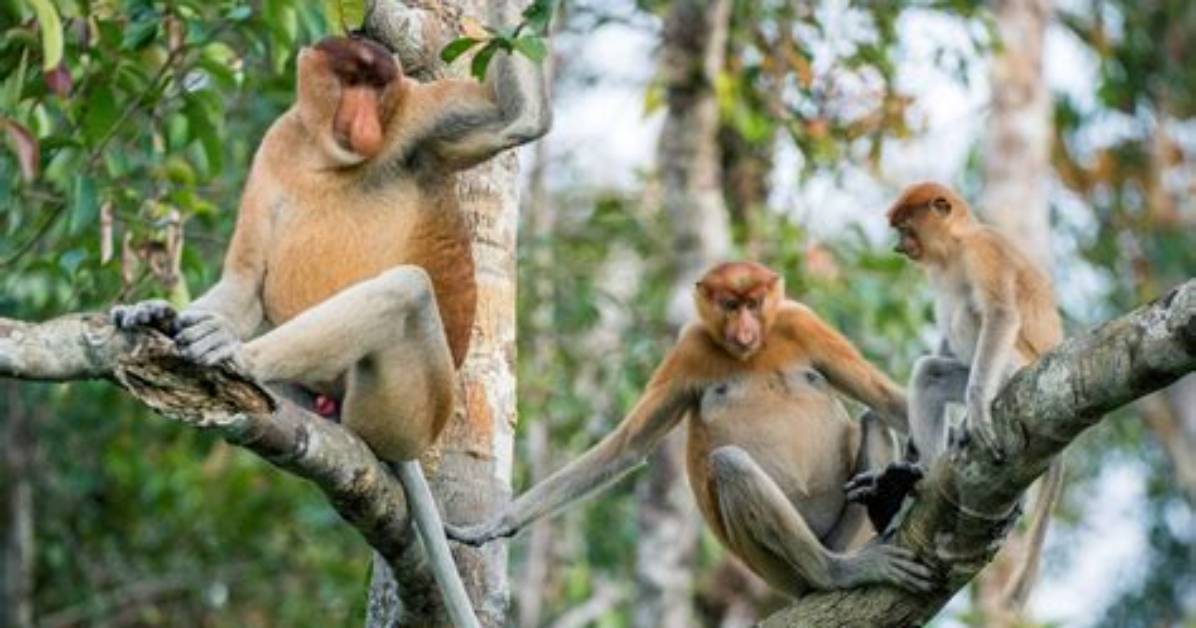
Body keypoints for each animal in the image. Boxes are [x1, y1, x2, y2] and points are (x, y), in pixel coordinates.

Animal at [112, 27, 549, 627]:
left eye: (377, 85)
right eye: (350, 79)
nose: (364, 121)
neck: (324, 156)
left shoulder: (418, 117)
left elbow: (517, 119)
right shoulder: (275, 146)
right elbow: (244, 282)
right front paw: (153, 311)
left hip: (407, 410)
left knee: (406, 288)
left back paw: (239, 357)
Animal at [446, 262, 937, 597]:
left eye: (754, 304)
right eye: (730, 305)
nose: (744, 328)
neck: (751, 354)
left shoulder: (801, 322)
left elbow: (884, 397)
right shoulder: (690, 349)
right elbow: (626, 447)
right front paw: (494, 524)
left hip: (839, 531)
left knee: (873, 419)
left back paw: (886, 501)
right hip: (771, 565)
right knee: (731, 462)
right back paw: (833, 572)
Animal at [882, 181, 1065, 610]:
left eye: (905, 228)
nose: (898, 247)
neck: (957, 242)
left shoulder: (982, 252)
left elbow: (1000, 314)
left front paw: (979, 408)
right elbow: (942, 348)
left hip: (1019, 365)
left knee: (970, 313)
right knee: (929, 374)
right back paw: (925, 481)